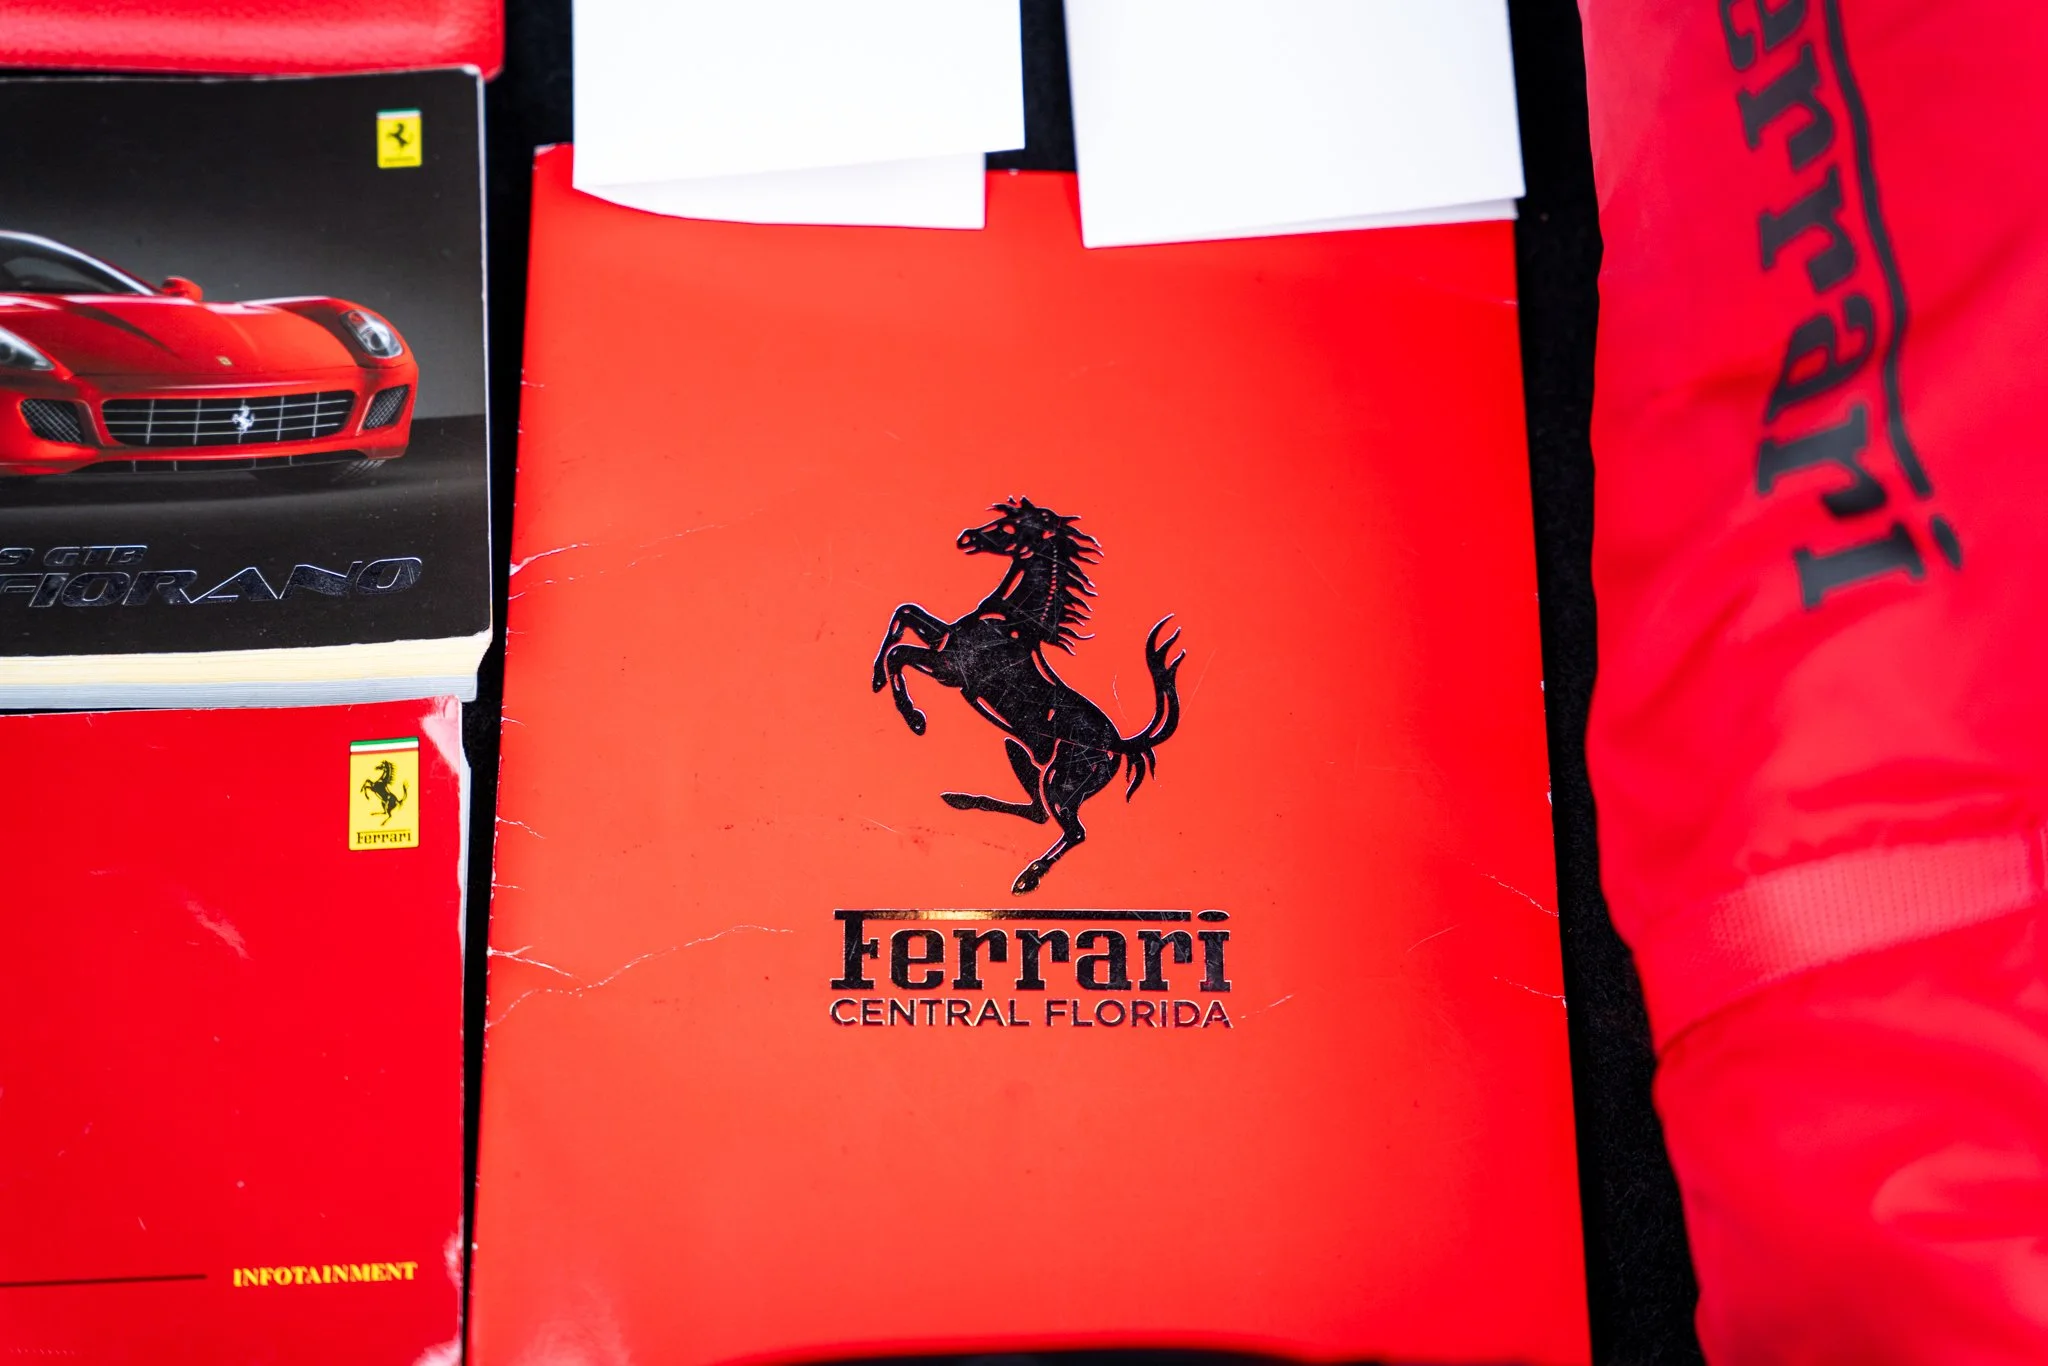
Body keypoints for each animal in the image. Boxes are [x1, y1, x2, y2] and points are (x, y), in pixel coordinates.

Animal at [871, 497, 1184, 894]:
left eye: (1010, 527)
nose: (966, 537)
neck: (1012, 621)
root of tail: (1120, 745)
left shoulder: (950, 669)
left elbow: (900, 652)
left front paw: (914, 720)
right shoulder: (943, 643)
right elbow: (905, 613)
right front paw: (876, 681)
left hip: (1060, 780)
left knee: (1072, 830)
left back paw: (1027, 877)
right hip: (1021, 752)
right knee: (1037, 812)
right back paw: (962, 801)